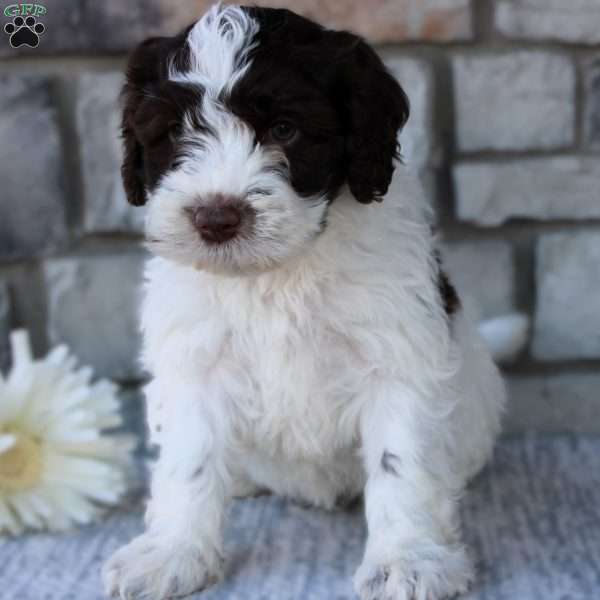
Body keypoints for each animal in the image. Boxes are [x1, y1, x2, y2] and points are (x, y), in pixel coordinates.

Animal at [103, 5, 506, 600]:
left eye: (284, 130)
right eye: (175, 131)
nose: (216, 218)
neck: (277, 272)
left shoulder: (397, 355)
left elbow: (401, 461)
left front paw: (408, 559)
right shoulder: (194, 358)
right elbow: (189, 460)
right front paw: (173, 552)